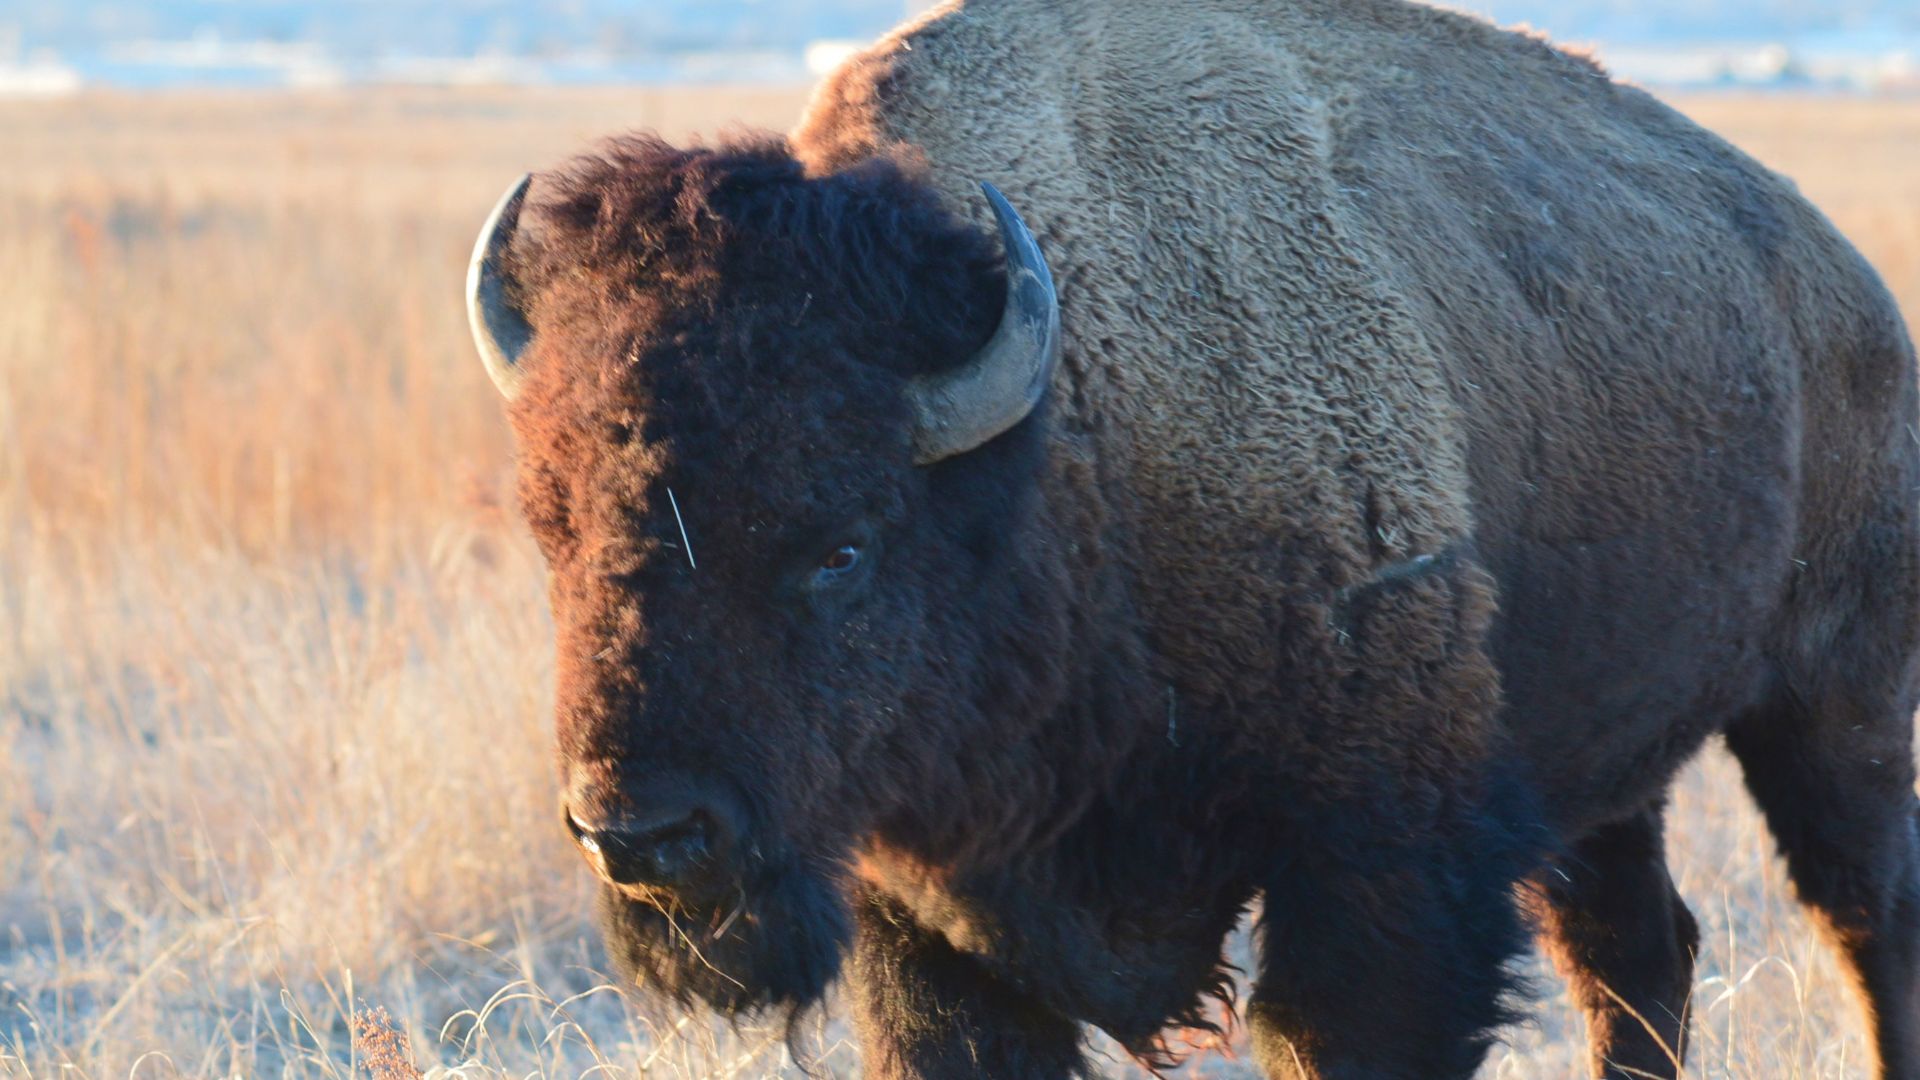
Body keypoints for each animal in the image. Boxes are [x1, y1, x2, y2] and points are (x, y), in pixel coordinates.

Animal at [462, 0, 1920, 1076]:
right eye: (555, 532)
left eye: (840, 549)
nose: (641, 832)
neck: (1065, 449)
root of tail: (1840, 277)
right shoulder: (925, 922)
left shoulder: (1383, 877)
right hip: (1608, 769)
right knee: (1638, 951)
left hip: (1834, 699)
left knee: (1866, 910)